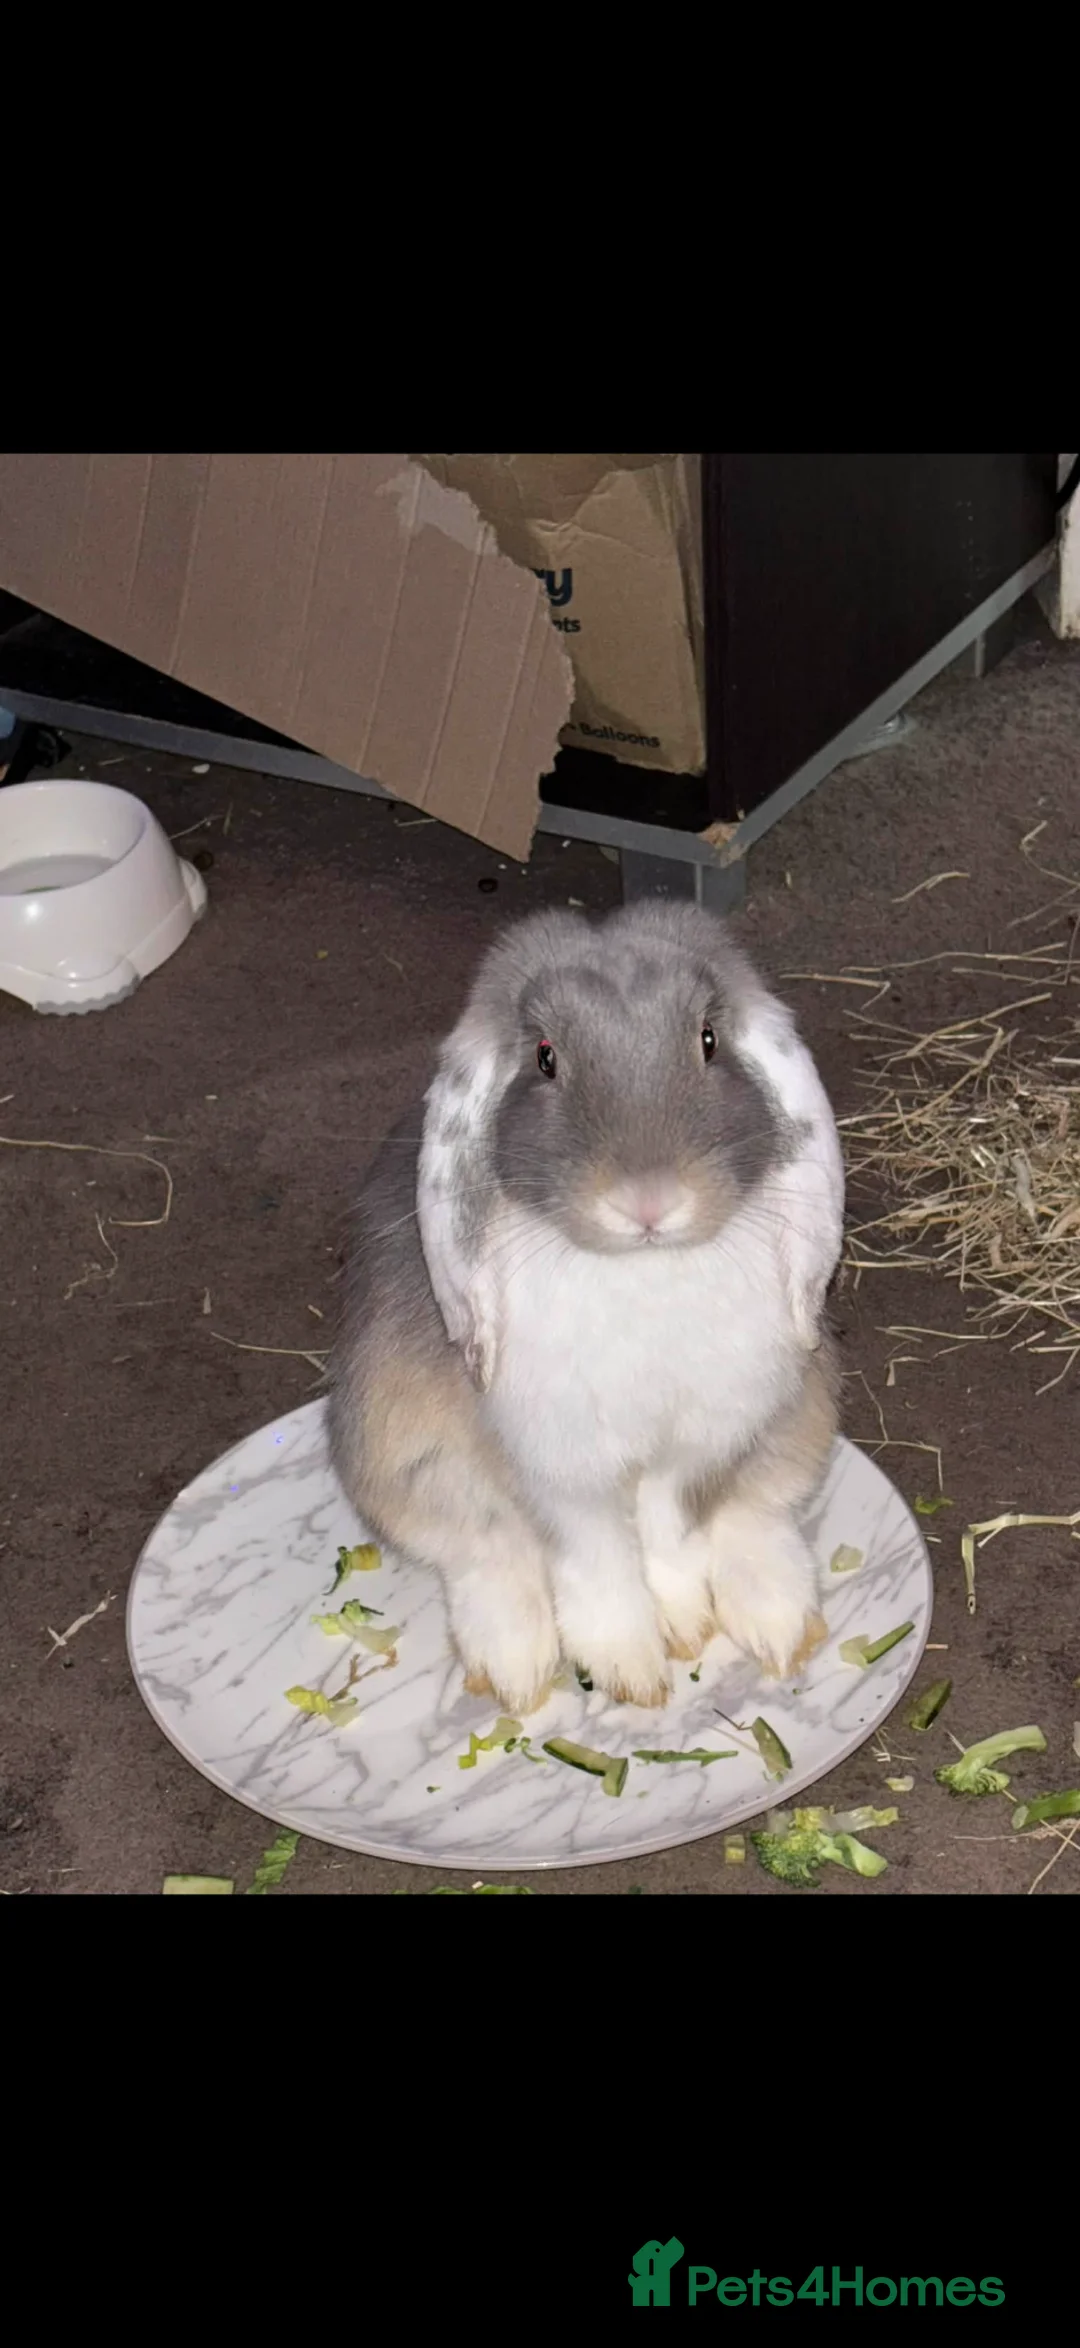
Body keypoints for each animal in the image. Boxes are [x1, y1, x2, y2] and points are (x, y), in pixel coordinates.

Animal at [329, 902, 845, 1716]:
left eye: (708, 1039)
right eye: (545, 1058)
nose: (649, 1200)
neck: (643, 1268)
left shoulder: (695, 1448)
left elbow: (670, 1537)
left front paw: (686, 1629)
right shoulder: (559, 1469)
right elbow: (595, 1556)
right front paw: (629, 1666)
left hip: (800, 1420)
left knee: (755, 1516)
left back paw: (779, 1627)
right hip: (402, 1456)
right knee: (486, 1552)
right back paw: (517, 1671)